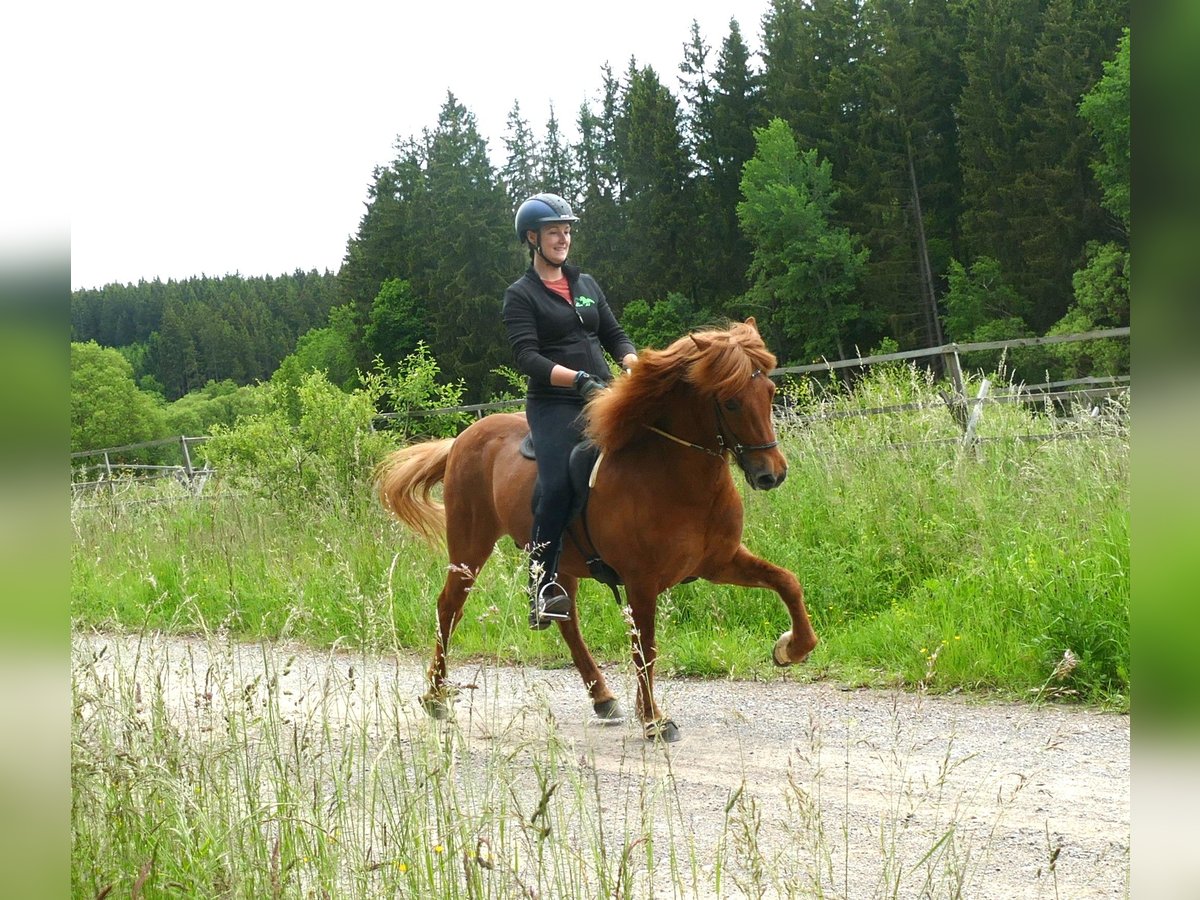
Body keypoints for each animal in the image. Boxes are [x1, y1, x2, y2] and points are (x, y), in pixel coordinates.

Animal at [376, 321, 816, 744]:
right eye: (731, 401)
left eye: (770, 391)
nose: (772, 474)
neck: (674, 473)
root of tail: (462, 438)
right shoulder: (642, 581)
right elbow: (646, 646)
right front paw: (654, 720)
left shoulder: (720, 562)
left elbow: (787, 582)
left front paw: (791, 648)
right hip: (471, 546)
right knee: (449, 607)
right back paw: (435, 697)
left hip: (558, 563)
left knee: (566, 619)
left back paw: (603, 699)